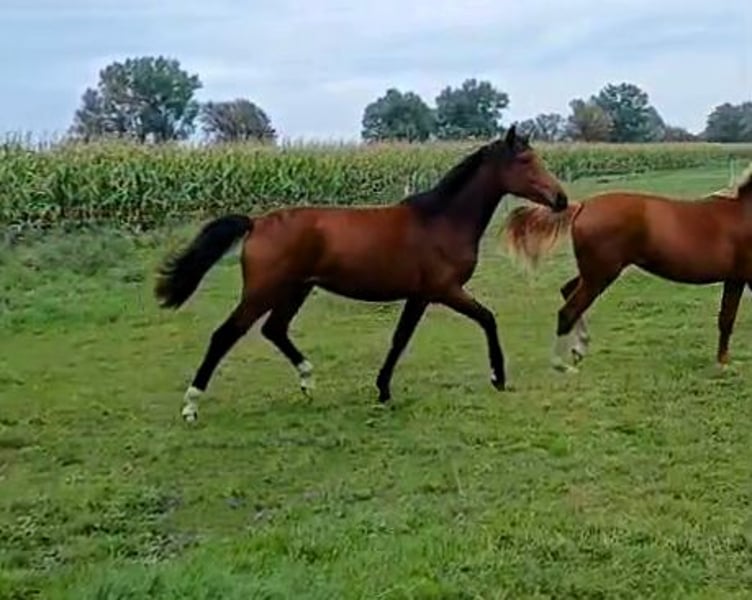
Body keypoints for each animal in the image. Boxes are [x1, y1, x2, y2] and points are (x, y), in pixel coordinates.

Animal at [154, 125, 569, 422]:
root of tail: (256, 223)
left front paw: (383, 389)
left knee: (275, 329)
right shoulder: (445, 290)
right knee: (225, 335)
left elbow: (399, 340)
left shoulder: (420, 295)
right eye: (525, 160)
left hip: (295, 290)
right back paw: (191, 405)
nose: (561, 199)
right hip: (262, 292)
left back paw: (308, 381)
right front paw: (499, 377)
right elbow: (487, 319)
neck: (441, 221)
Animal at [502, 164, 752, 373]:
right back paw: (561, 364)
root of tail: (582, 206)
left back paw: (579, 348)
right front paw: (724, 363)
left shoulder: (735, 279)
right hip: (600, 274)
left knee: (567, 291)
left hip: (593, 273)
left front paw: (723, 360)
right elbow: (728, 319)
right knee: (567, 311)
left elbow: (726, 319)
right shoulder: (742, 278)